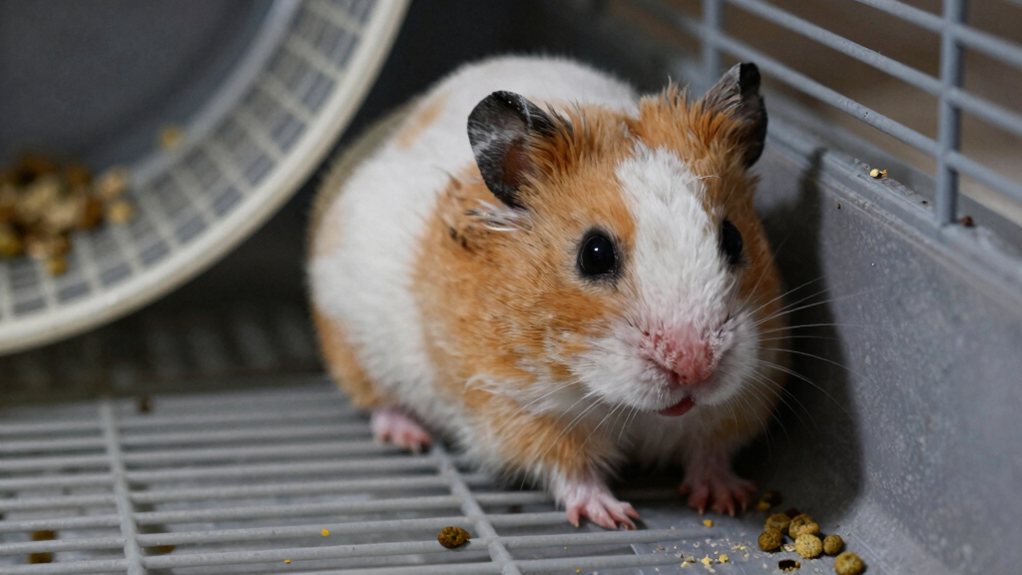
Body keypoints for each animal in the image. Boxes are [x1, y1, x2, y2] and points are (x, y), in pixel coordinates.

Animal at [308, 56, 788, 529]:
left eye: (733, 239)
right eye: (594, 254)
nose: (693, 369)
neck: (620, 404)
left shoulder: (743, 393)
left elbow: (710, 452)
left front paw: (728, 499)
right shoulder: (515, 408)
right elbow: (569, 468)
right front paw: (615, 516)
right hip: (354, 348)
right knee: (377, 402)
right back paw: (410, 436)